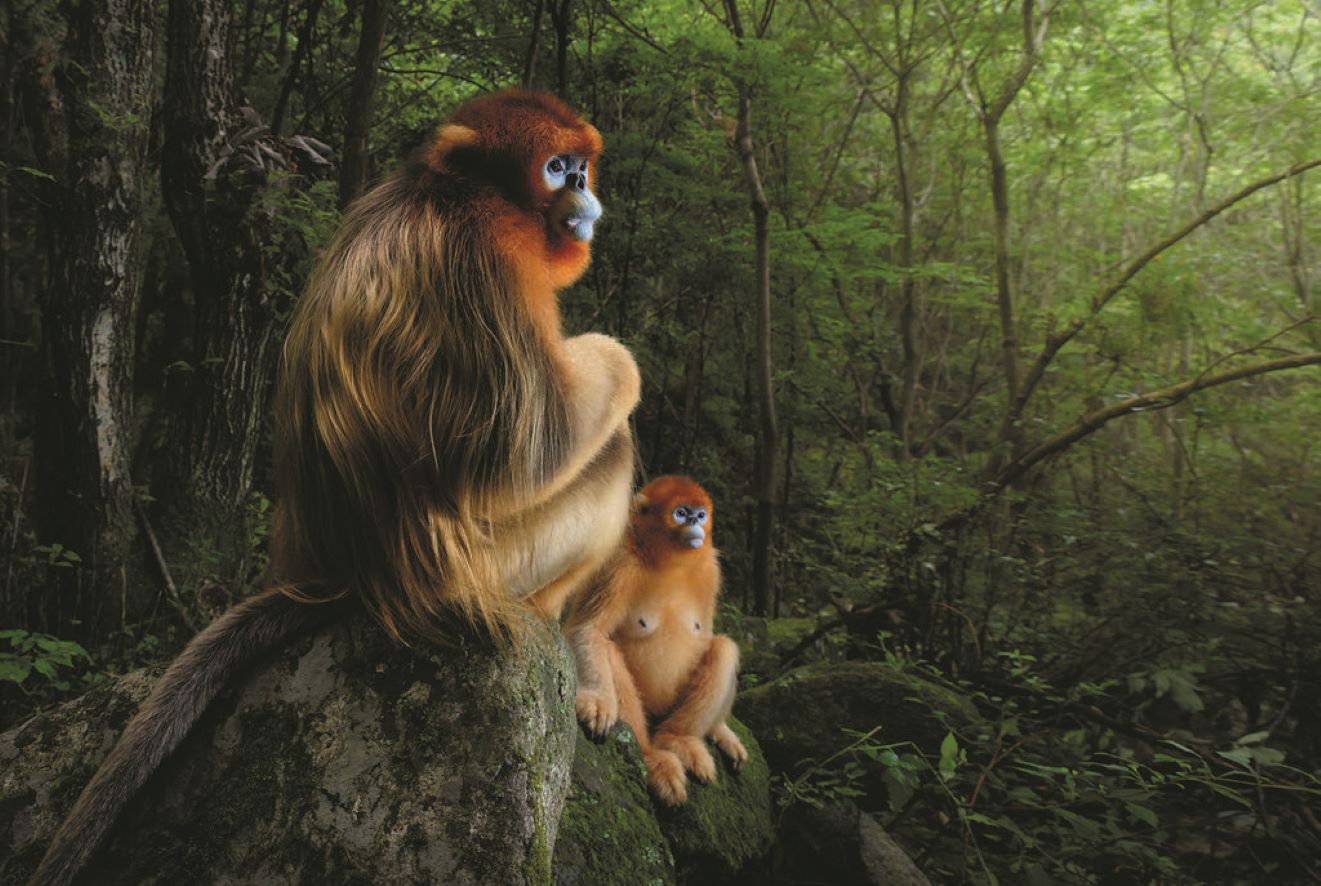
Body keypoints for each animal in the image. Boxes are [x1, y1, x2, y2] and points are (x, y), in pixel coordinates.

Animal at [31, 88, 639, 886]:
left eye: (580, 165)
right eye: (556, 168)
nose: (583, 191)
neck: (447, 191)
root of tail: (342, 575)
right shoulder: (489, 255)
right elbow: (526, 451)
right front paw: (617, 357)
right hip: (494, 561)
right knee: (609, 449)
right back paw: (547, 618)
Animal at [568, 477, 750, 802]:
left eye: (700, 514)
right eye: (681, 513)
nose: (695, 523)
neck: (669, 562)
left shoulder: (710, 569)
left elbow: (706, 636)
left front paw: (721, 730)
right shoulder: (619, 563)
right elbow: (588, 629)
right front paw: (597, 700)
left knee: (724, 648)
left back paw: (678, 739)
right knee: (608, 650)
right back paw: (652, 756)